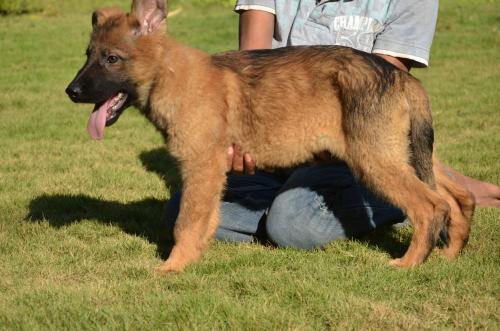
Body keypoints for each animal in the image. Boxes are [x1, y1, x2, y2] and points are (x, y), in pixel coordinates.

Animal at [65, 0, 472, 272]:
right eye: (87, 54)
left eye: (111, 59)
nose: (70, 91)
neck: (170, 75)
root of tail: (401, 77)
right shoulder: (212, 172)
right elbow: (204, 219)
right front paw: (194, 257)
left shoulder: (201, 165)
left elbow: (186, 222)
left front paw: (172, 267)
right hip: (407, 151)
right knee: (458, 197)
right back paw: (450, 253)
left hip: (374, 159)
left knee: (429, 206)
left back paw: (409, 263)